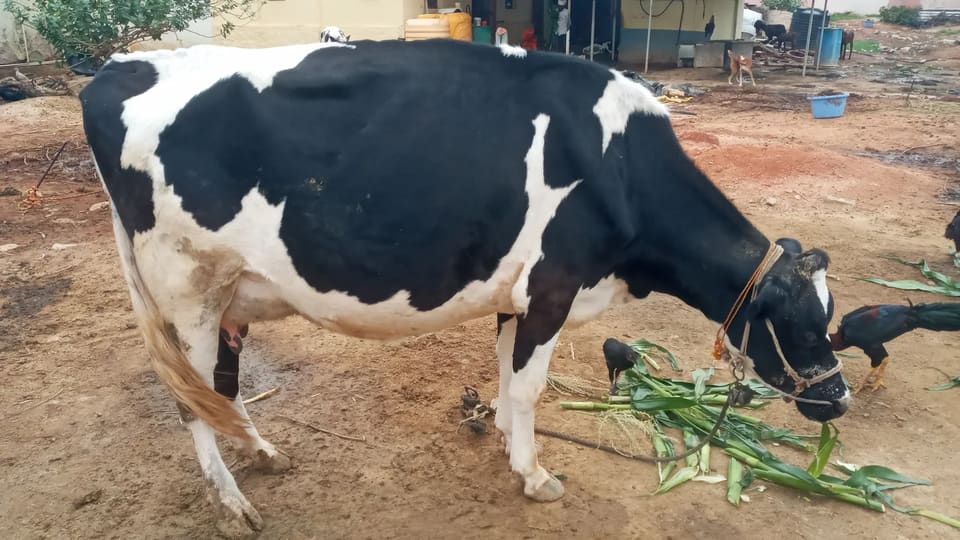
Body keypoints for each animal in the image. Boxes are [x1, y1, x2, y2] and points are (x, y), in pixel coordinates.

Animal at [79, 39, 850, 537]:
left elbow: (507, 373)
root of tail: (115, 69)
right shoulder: (555, 285)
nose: (838, 399)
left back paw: (262, 453)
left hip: (226, 297)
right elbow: (530, 386)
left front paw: (505, 437)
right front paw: (533, 475)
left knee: (223, 388)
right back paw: (233, 504)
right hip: (190, 290)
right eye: (803, 326)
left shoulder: (519, 293)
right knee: (191, 401)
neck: (621, 165)